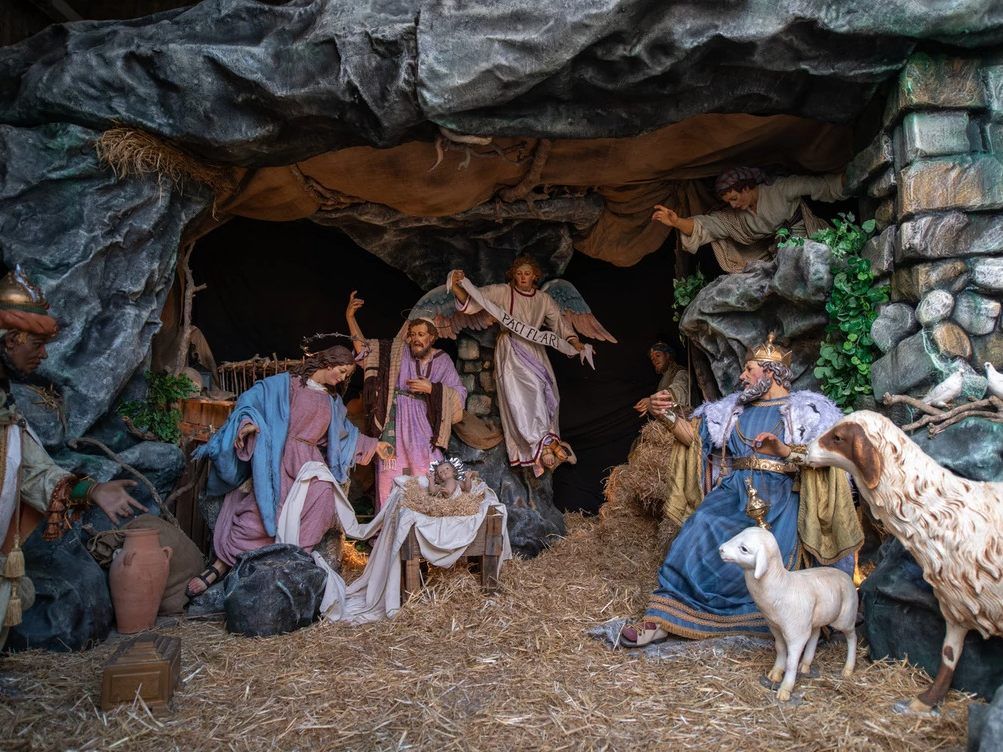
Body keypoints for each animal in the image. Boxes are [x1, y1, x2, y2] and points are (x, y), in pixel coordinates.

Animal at [718, 525, 858, 705]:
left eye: (744, 549)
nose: (720, 549)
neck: (781, 584)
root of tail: (845, 575)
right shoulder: (775, 627)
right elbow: (780, 649)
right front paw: (776, 672)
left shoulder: (796, 633)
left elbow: (791, 661)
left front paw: (785, 688)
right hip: (814, 618)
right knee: (815, 634)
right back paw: (805, 664)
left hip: (845, 617)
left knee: (852, 637)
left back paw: (848, 668)